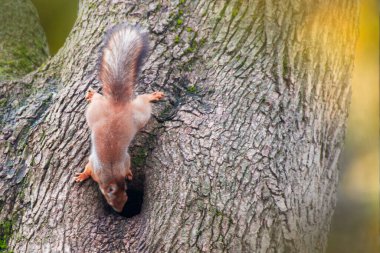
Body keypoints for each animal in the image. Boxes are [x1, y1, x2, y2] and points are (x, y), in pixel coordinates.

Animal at [74, 24, 163, 213]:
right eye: (110, 201)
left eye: (126, 197)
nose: (120, 211)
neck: (111, 174)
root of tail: (117, 105)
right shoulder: (95, 167)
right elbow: (88, 169)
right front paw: (82, 176)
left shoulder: (116, 163)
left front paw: (129, 173)